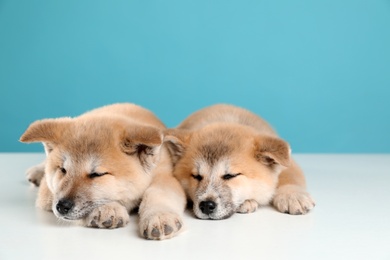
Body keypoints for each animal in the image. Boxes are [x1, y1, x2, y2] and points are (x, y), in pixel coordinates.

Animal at [20, 103, 186, 240]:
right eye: (63, 170)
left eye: (97, 174)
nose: (62, 207)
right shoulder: (48, 194)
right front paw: (108, 208)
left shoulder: (164, 175)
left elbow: (158, 193)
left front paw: (159, 216)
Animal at [164, 103, 314, 219]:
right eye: (196, 176)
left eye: (230, 176)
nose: (206, 205)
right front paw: (247, 202)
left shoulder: (289, 164)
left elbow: (289, 176)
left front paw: (293, 196)